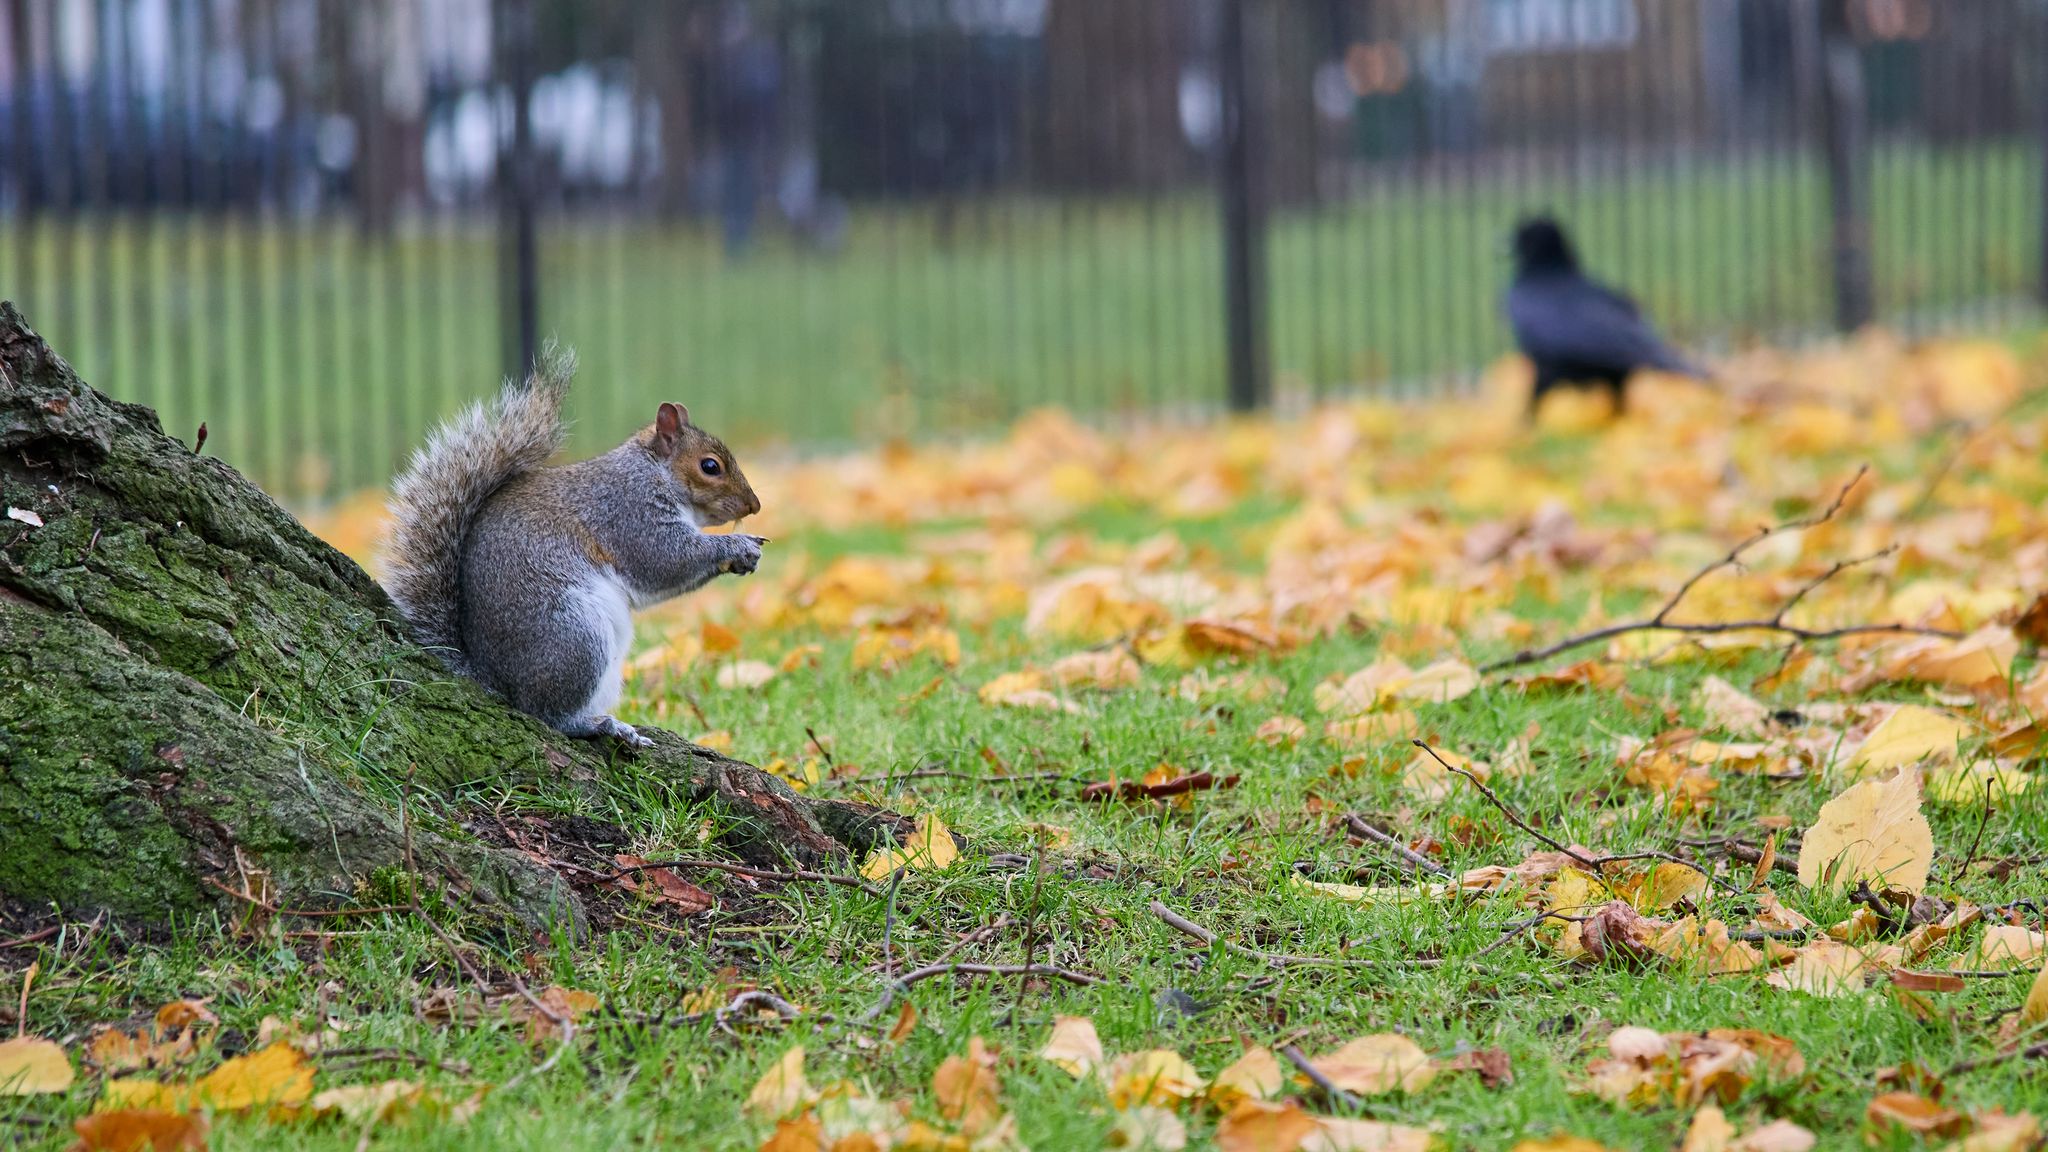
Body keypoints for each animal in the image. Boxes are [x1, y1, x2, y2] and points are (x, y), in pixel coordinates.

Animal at [380, 345, 765, 747]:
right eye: (710, 466)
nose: (754, 506)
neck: (653, 471)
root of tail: (495, 680)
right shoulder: (627, 511)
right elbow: (664, 560)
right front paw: (737, 545)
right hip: (575, 636)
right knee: (549, 714)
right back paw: (602, 725)